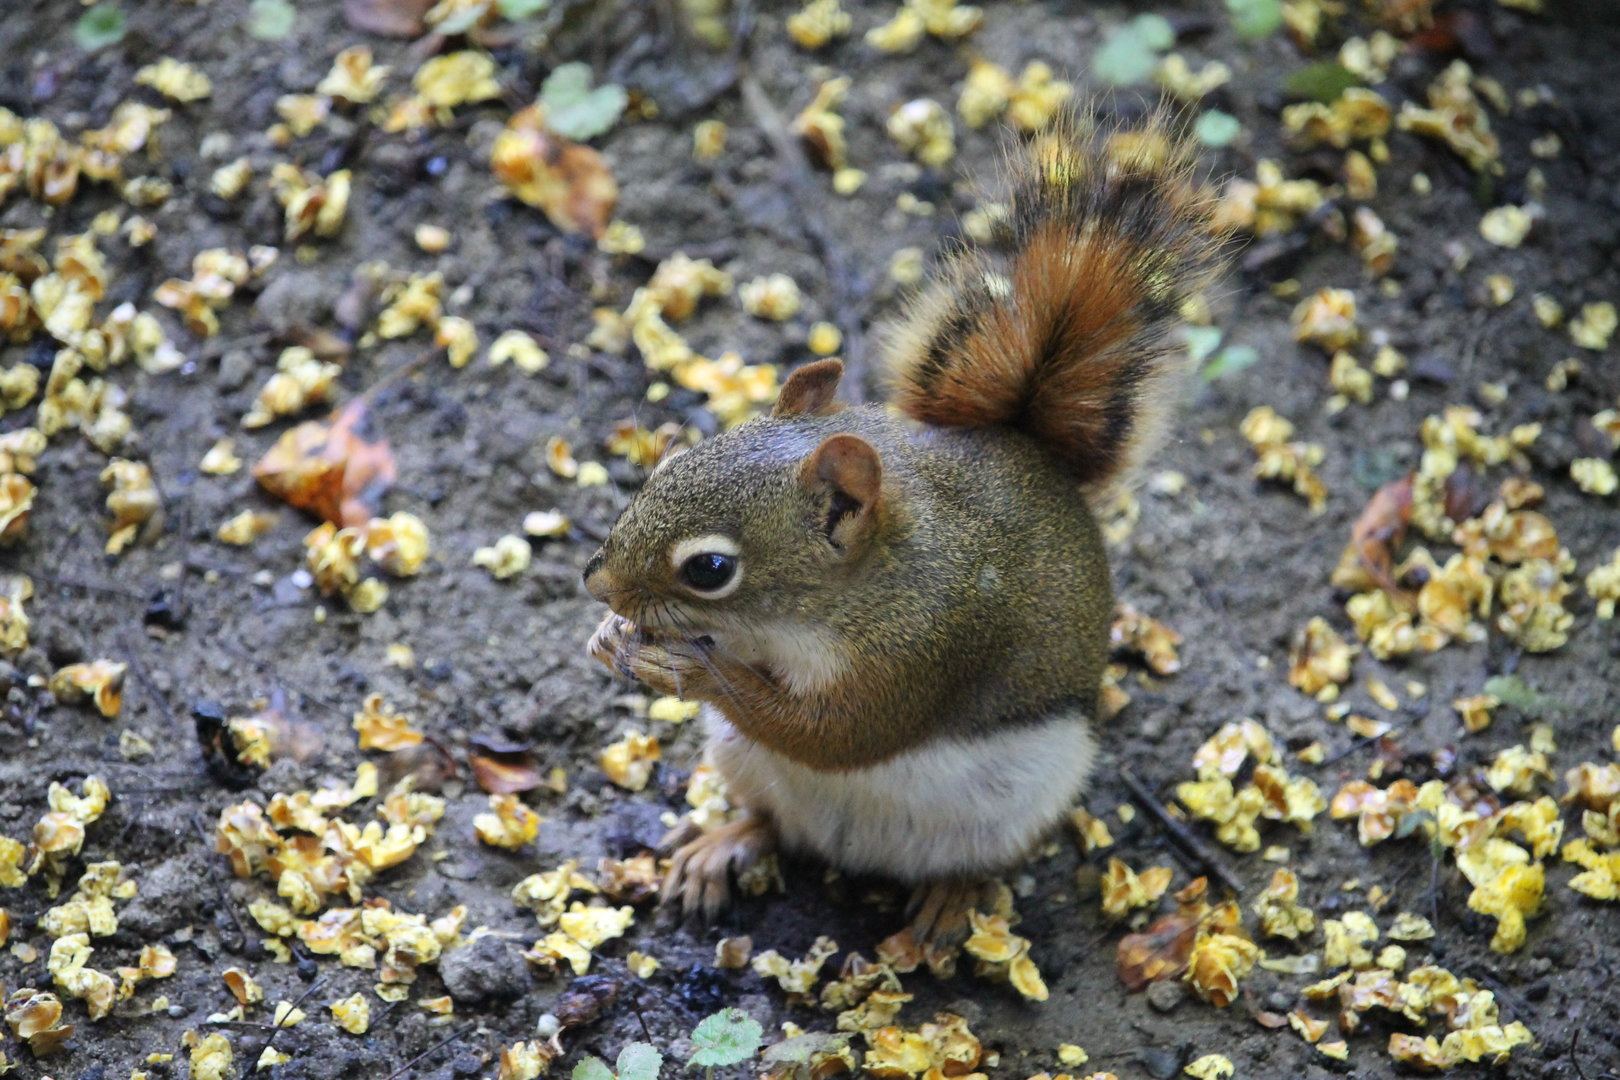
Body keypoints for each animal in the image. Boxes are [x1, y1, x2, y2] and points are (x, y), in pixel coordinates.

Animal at [584, 112, 1228, 958]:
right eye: (668, 463)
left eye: (711, 568)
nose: (595, 581)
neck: (826, 608)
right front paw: (610, 637)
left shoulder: (926, 644)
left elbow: (834, 735)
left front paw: (690, 671)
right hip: (739, 760)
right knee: (769, 820)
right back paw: (723, 844)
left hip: (1020, 801)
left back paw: (951, 902)